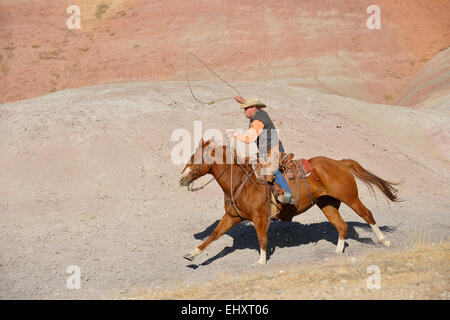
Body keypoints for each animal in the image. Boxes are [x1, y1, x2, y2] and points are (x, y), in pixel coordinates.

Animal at [178, 138, 400, 264]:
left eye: (197, 158)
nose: (182, 178)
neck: (241, 182)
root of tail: (340, 163)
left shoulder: (260, 218)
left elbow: (262, 238)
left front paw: (261, 261)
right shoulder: (232, 216)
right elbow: (214, 235)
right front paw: (191, 254)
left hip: (350, 197)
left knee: (367, 214)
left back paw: (385, 241)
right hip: (327, 204)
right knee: (342, 225)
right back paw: (338, 250)